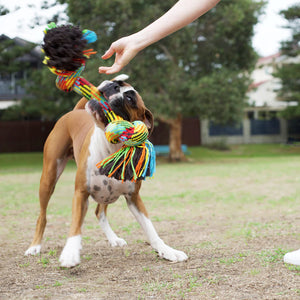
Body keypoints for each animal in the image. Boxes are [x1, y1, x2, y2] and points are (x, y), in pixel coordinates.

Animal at [24, 75, 188, 268]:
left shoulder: (133, 198)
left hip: (107, 192)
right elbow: (75, 225)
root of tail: (74, 112)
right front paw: (70, 252)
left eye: (130, 98)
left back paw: (113, 239)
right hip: (49, 178)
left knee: (99, 212)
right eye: (117, 83)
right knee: (42, 216)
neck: (112, 147)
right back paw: (35, 246)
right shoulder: (81, 193)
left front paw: (167, 251)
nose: (113, 85)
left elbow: (150, 228)